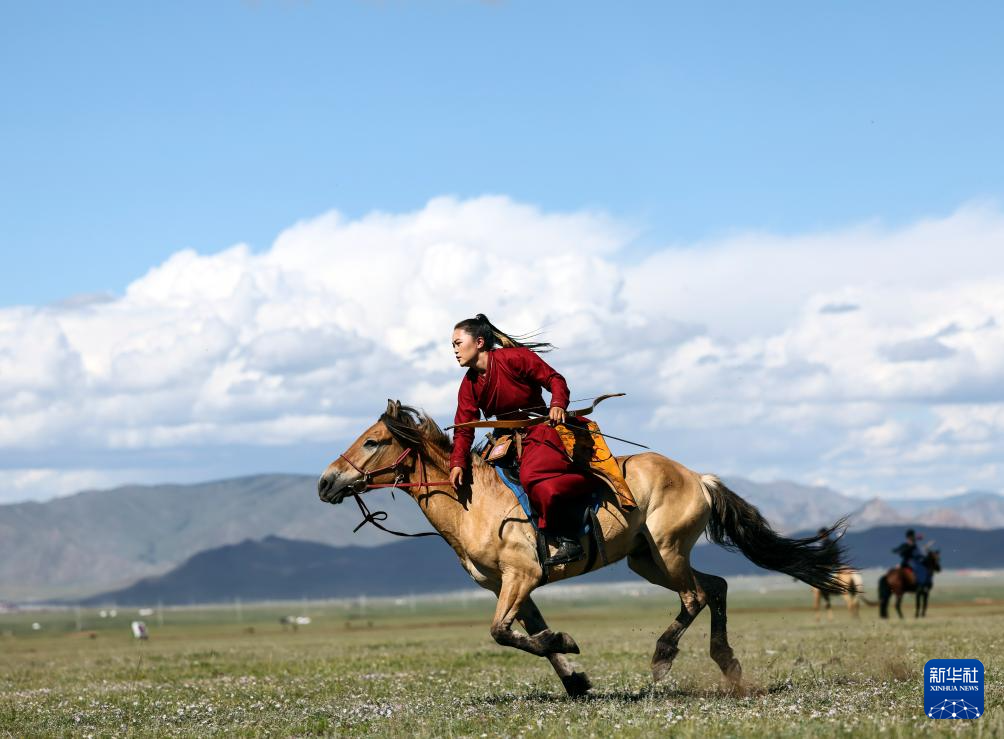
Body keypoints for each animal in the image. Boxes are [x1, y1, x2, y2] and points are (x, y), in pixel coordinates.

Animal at [318, 401, 851, 696]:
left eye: (372, 442)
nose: (325, 483)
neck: (475, 502)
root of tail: (698, 477)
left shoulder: (522, 576)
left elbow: (502, 633)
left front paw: (568, 645)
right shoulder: (508, 585)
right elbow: (528, 634)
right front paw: (574, 678)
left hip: (668, 551)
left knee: (695, 596)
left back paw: (663, 658)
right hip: (647, 559)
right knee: (715, 587)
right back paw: (729, 665)